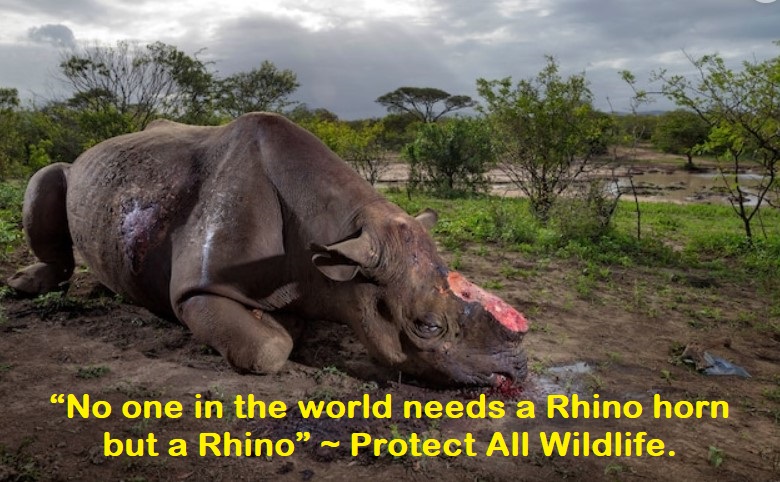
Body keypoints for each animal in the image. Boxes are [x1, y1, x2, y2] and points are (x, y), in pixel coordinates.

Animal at [8, 113, 528, 386]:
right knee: (49, 176)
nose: (517, 373)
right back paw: (25, 286)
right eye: (427, 327)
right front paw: (277, 329)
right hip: (80, 174)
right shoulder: (197, 290)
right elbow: (268, 349)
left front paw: (287, 318)